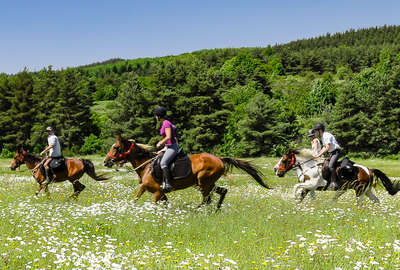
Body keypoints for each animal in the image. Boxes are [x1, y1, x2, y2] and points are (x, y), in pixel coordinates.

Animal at [103, 135, 272, 209]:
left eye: (116, 148)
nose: (106, 161)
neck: (146, 166)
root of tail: (219, 158)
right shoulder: (156, 192)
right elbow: (138, 199)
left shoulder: (156, 192)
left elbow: (144, 202)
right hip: (205, 184)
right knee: (222, 192)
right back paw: (215, 210)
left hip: (203, 183)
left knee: (207, 199)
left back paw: (199, 210)